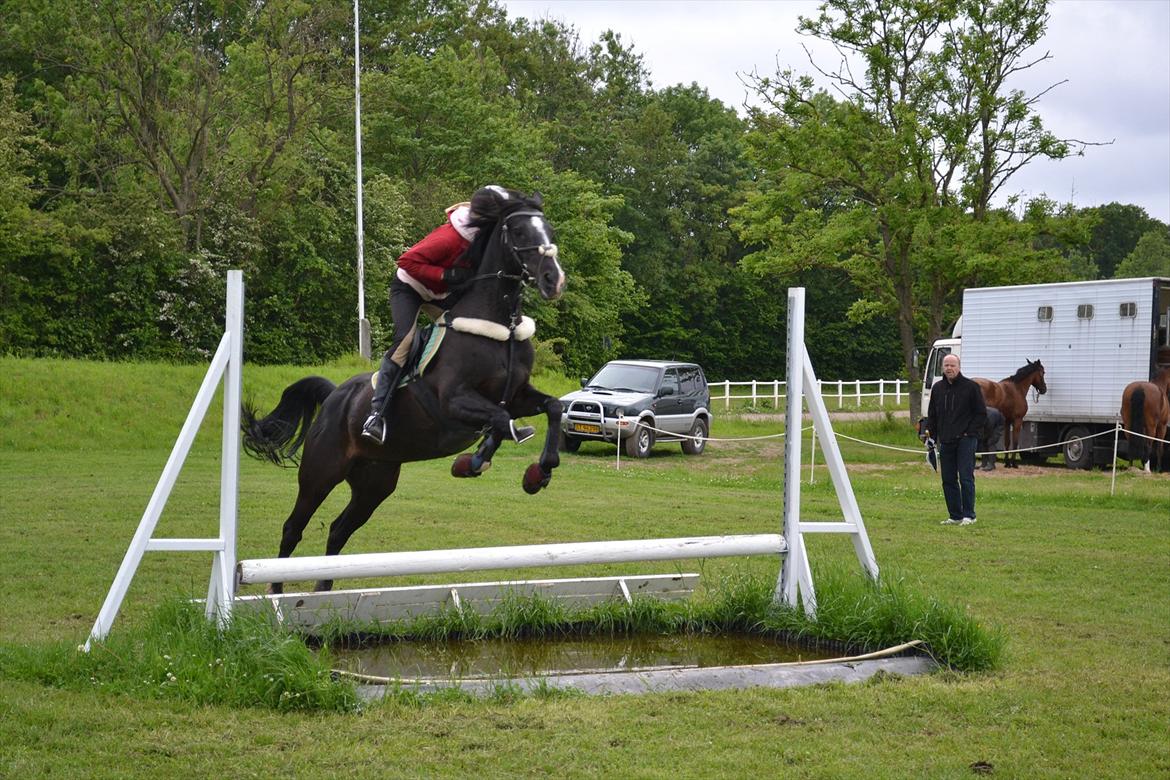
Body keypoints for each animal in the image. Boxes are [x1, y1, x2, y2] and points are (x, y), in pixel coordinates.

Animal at [241, 187, 566, 591]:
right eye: (519, 232)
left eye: (549, 229)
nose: (554, 280)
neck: (499, 329)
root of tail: (334, 396)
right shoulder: (454, 401)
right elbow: (502, 420)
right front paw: (475, 461)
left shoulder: (518, 395)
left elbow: (549, 408)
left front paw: (538, 473)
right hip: (321, 471)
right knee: (293, 528)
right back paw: (277, 593)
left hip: (375, 482)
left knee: (338, 530)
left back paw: (322, 591)